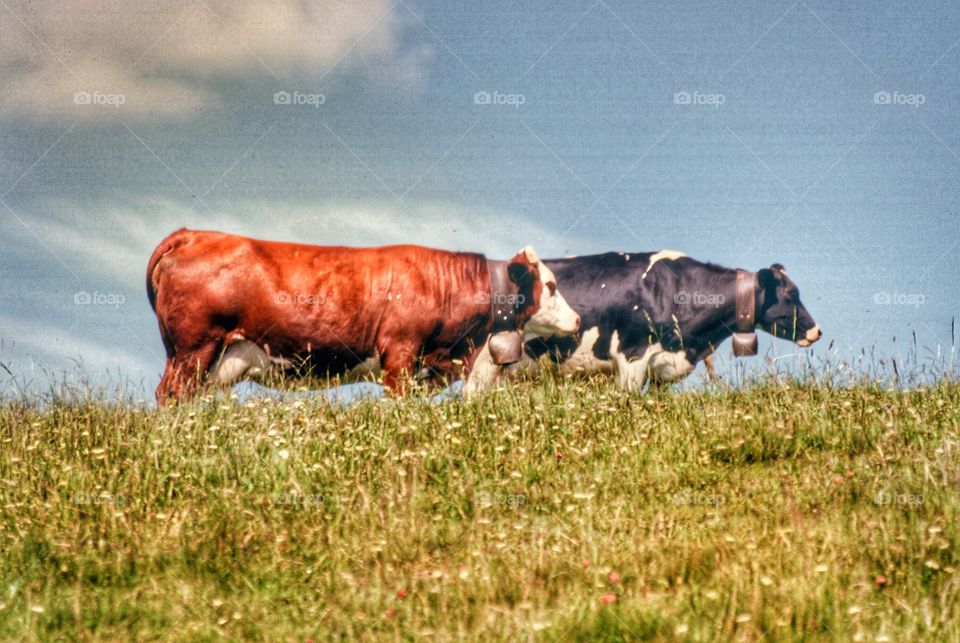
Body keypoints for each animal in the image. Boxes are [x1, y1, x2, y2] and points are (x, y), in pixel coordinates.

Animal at [146, 229, 580, 403]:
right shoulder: (400, 353)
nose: (577, 319)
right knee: (170, 394)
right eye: (551, 284)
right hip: (194, 347)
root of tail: (193, 233)